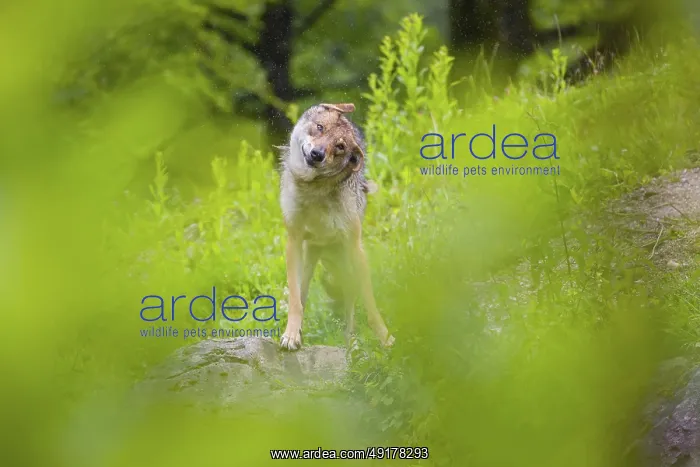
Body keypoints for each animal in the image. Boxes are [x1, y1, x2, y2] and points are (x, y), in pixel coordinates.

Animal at [277, 102, 394, 350]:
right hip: (309, 261)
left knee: (350, 301)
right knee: (303, 296)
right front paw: (291, 335)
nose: (317, 154)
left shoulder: (355, 247)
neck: (314, 189)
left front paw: (385, 337)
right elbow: (295, 302)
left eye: (339, 147)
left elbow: (370, 303)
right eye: (320, 127)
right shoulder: (293, 241)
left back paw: (350, 343)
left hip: (346, 264)